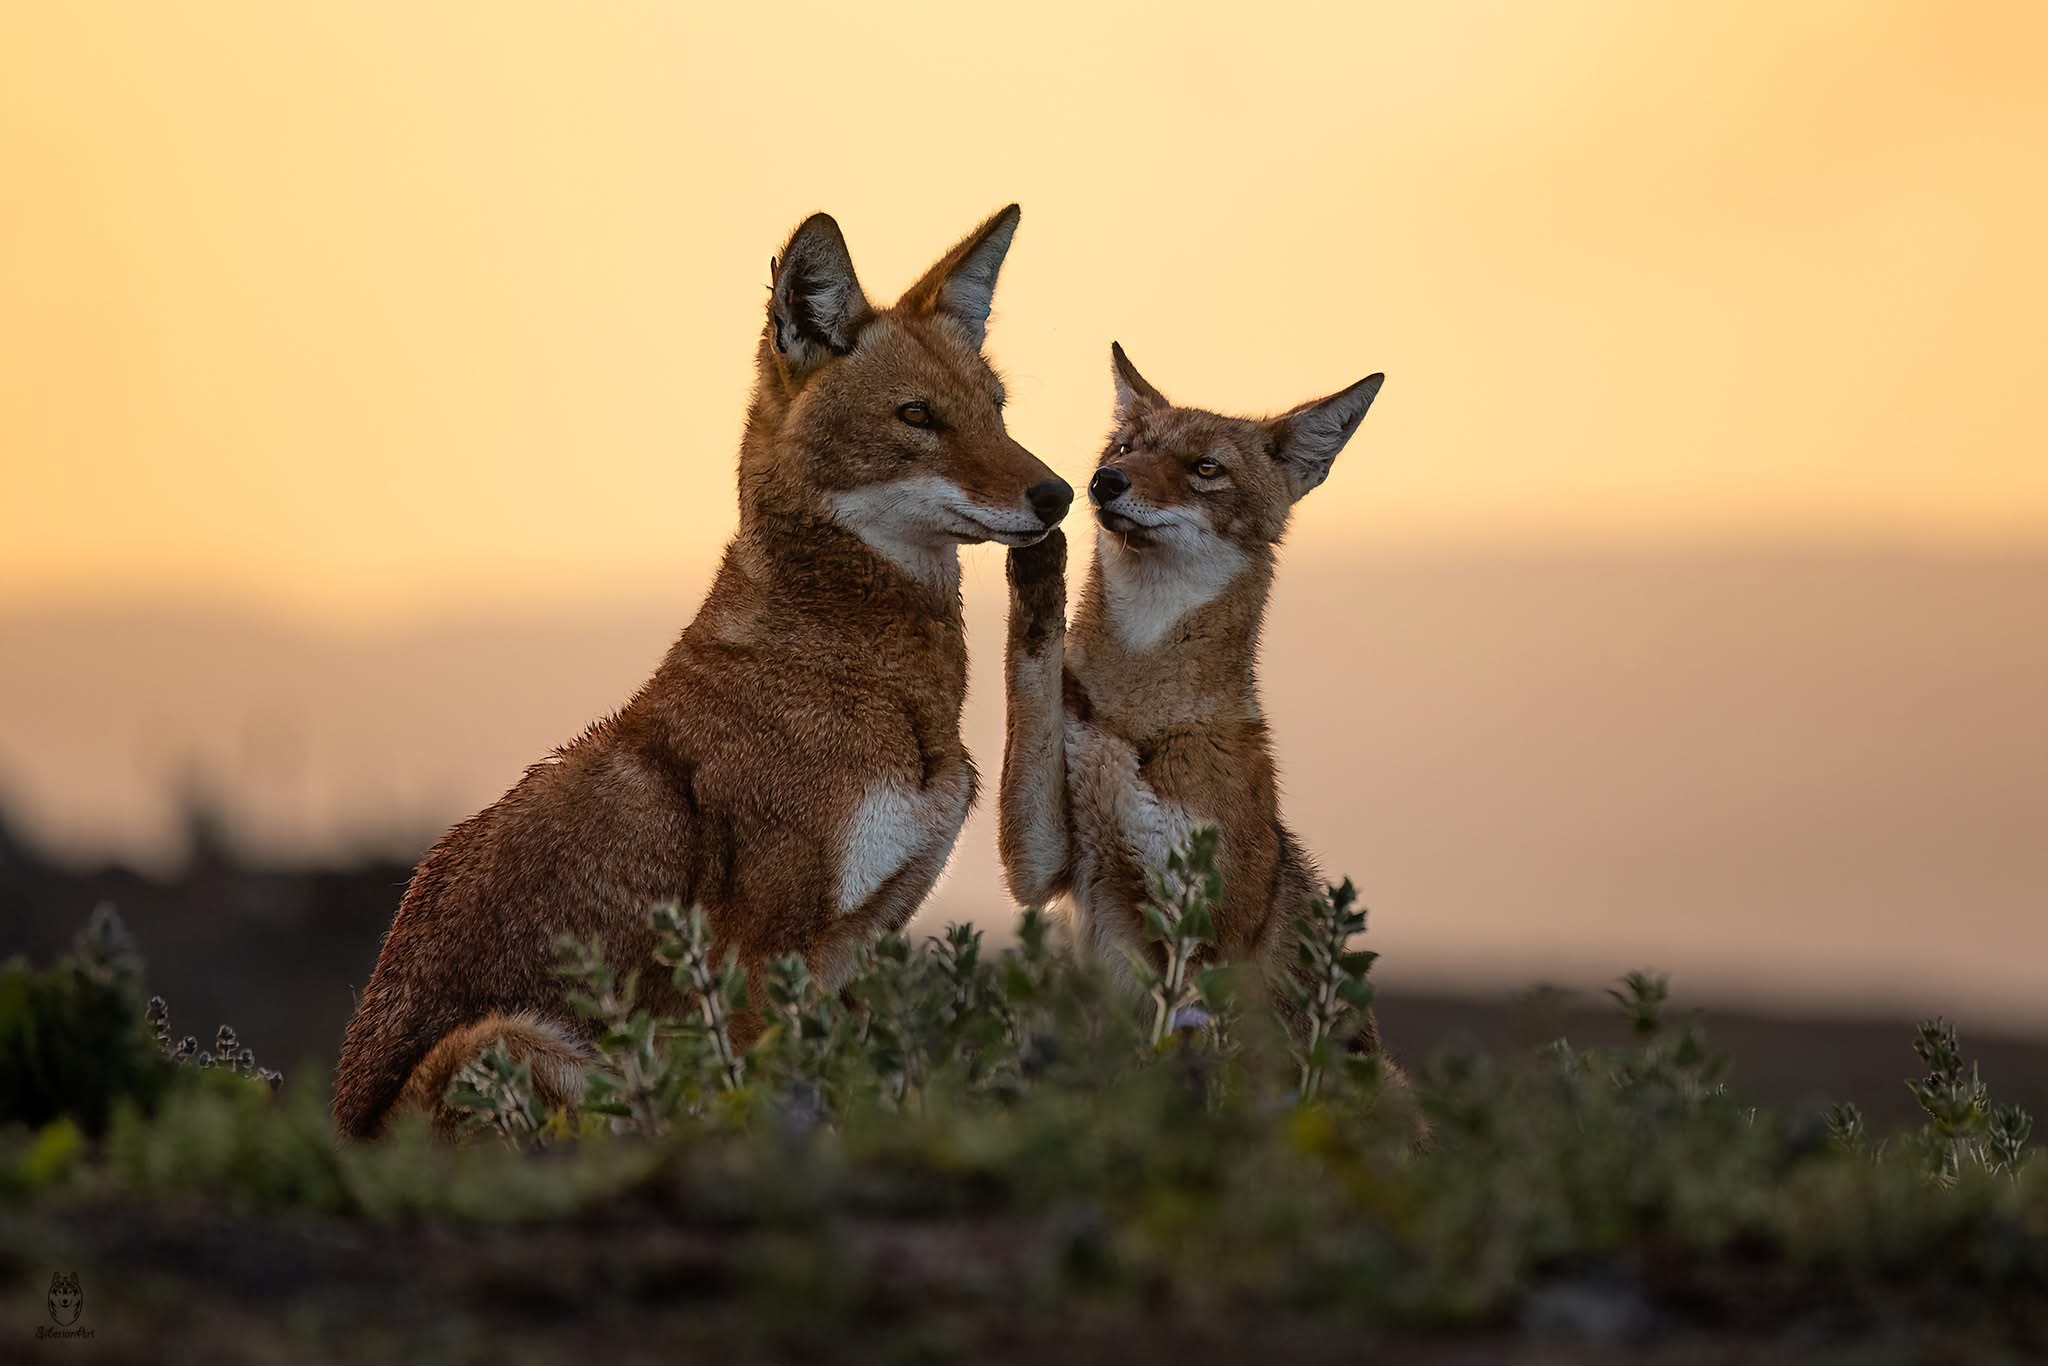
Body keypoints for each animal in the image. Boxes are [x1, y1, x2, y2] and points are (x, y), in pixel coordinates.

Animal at [333, 205, 1070, 1136]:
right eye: (917, 415)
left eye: (996, 410)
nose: (1060, 494)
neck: (863, 677)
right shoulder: (764, 958)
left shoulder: (860, 947)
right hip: (516, 1043)